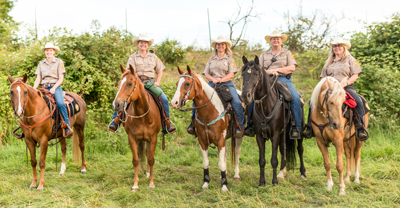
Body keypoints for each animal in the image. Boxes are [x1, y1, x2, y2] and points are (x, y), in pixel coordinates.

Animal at [241, 54, 306, 185]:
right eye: (243, 74)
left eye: (256, 74)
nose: (246, 96)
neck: (266, 106)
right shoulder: (260, 136)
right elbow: (262, 160)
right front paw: (262, 182)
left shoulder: (275, 134)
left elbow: (274, 159)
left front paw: (274, 181)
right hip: (283, 134)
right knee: (283, 149)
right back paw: (282, 173)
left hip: (299, 133)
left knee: (300, 149)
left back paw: (302, 173)